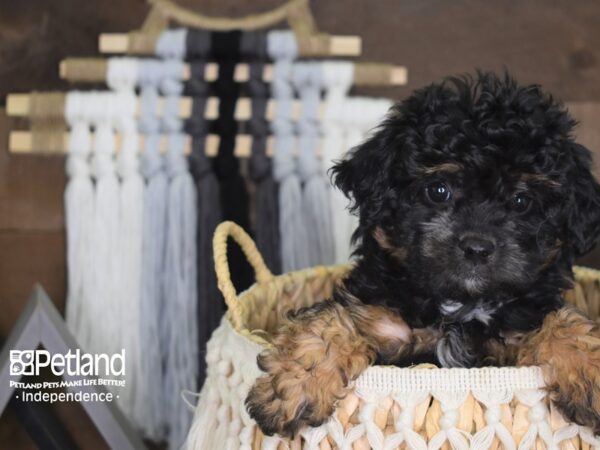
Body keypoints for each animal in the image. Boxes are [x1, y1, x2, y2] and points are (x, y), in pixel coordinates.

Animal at [246, 72, 600, 438]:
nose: (477, 247)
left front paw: (590, 370)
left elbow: (563, 321)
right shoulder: (379, 317)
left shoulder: (520, 326)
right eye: (438, 190)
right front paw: (295, 385)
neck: (459, 308)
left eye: (521, 201)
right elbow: (330, 320)